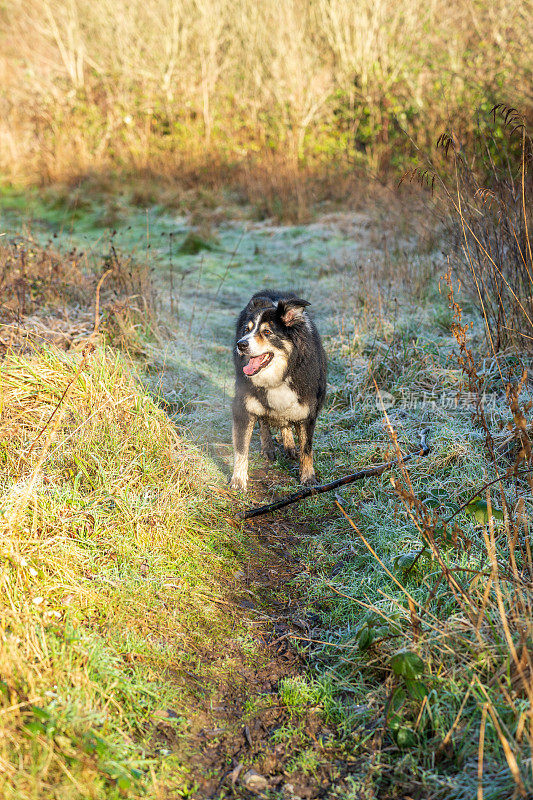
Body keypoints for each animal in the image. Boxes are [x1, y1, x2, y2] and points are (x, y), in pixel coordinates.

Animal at [231, 290, 326, 490]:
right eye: (247, 330)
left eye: (267, 332)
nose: (240, 344)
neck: (280, 375)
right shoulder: (243, 407)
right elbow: (242, 447)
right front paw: (238, 480)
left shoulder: (308, 411)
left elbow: (307, 448)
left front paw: (308, 478)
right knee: (264, 421)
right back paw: (268, 447)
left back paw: (289, 445)